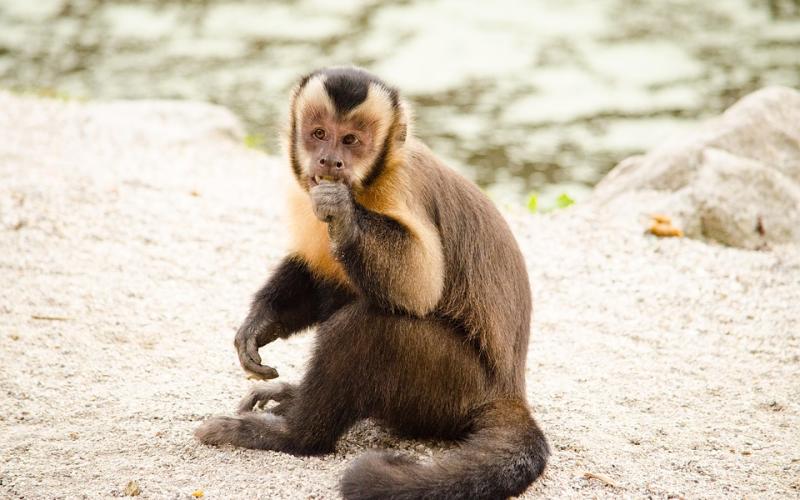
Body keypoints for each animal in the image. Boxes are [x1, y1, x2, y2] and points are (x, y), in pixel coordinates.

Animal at [195, 66, 550, 499]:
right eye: (319, 134)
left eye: (351, 141)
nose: (330, 160)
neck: (366, 185)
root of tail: (511, 393)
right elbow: (318, 274)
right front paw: (260, 323)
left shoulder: (400, 188)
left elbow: (418, 286)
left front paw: (344, 213)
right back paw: (294, 399)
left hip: (454, 390)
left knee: (369, 326)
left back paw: (295, 435)